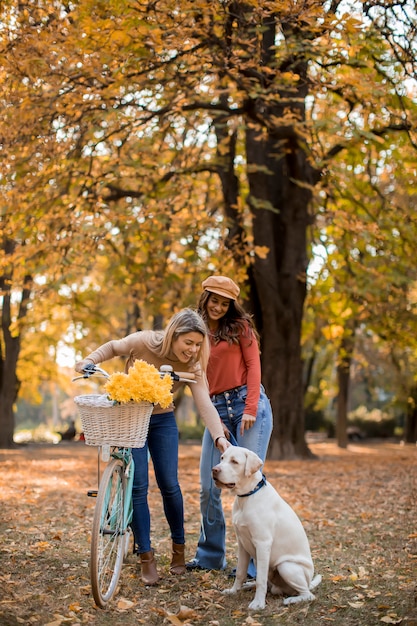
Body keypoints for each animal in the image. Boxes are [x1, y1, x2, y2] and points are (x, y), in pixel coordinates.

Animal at [211, 444, 322, 608]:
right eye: (222, 458)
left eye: (234, 462)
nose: (214, 469)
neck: (248, 496)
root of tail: (309, 583)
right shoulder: (242, 543)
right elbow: (241, 572)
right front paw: (233, 591)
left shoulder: (263, 543)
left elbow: (261, 580)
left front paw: (258, 603)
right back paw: (248, 585)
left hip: (286, 566)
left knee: (308, 594)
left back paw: (291, 600)